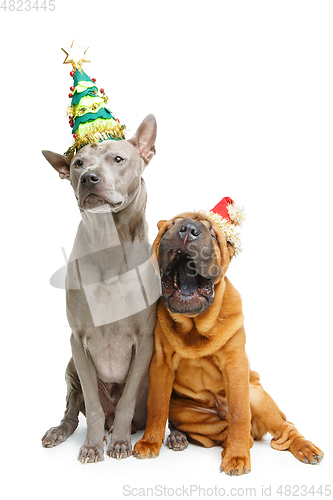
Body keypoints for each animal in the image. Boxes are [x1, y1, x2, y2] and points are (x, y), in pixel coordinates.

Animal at [40, 115, 160, 462]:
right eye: (78, 163)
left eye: (118, 159)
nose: (89, 178)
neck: (109, 248)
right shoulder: (78, 342)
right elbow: (92, 404)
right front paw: (93, 446)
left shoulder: (145, 341)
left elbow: (127, 400)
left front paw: (119, 442)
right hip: (70, 368)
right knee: (73, 409)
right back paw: (61, 431)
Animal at [134, 212, 322, 476]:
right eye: (171, 226)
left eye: (212, 234)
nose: (187, 229)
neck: (195, 326)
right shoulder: (161, 365)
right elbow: (157, 407)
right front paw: (150, 441)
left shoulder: (235, 365)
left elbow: (239, 414)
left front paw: (237, 456)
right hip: (186, 412)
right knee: (224, 432)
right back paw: (181, 438)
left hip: (258, 397)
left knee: (283, 429)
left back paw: (304, 448)